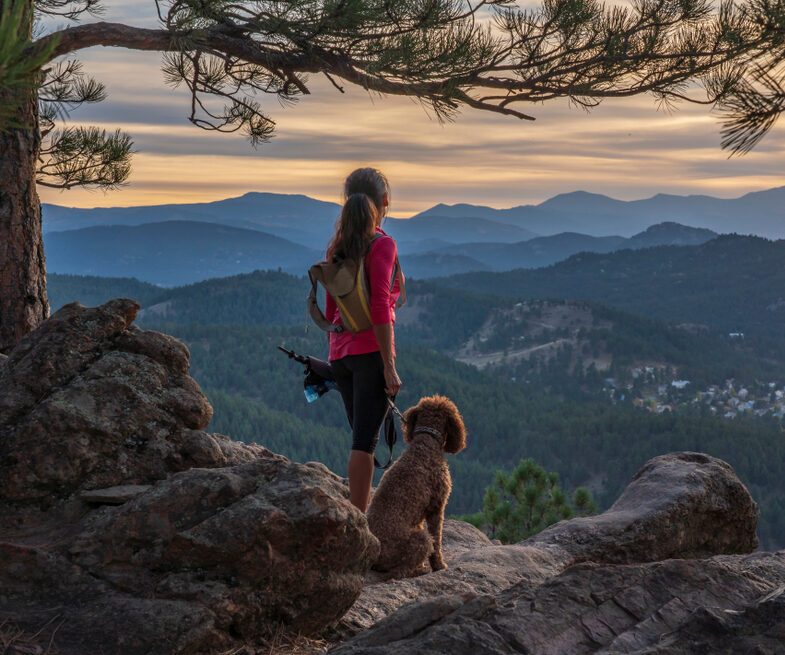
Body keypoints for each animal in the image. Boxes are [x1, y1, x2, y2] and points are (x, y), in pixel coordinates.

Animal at [366, 394, 468, 580]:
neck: (426, 442)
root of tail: (374, 553)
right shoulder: (436, 507)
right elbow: (437, 540)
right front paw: (439, 565)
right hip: (420, 540)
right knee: (399, 571)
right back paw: (417, 570)